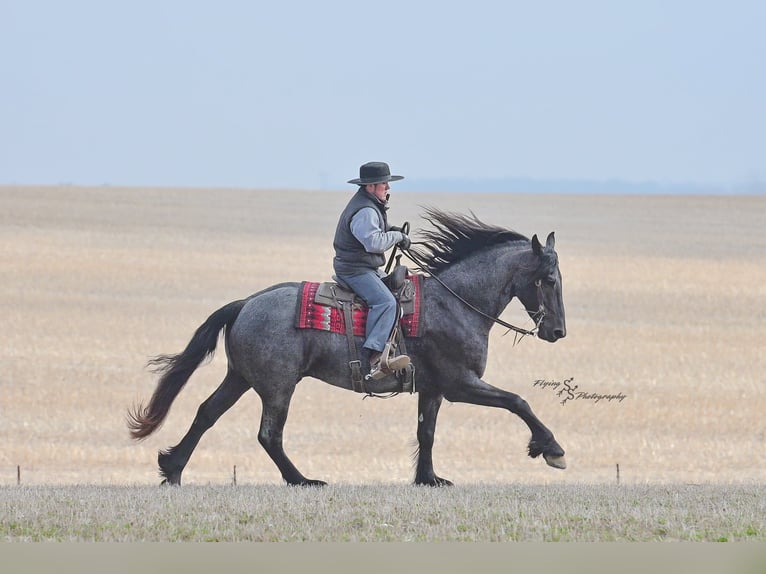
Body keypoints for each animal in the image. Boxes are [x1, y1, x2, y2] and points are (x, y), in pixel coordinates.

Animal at [127, 208, 567, 486]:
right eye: (548, 279)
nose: (558, 331)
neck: (454, 302)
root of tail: (245, 303)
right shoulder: (461, 384)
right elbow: (518, 402)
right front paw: (551, 448)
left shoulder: (433, 389)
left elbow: (426, 433)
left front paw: (429, 479)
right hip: (277, 386)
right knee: (269, 434)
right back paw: (302, 481)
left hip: (241, 378)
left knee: (206, 413)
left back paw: (172, 470)